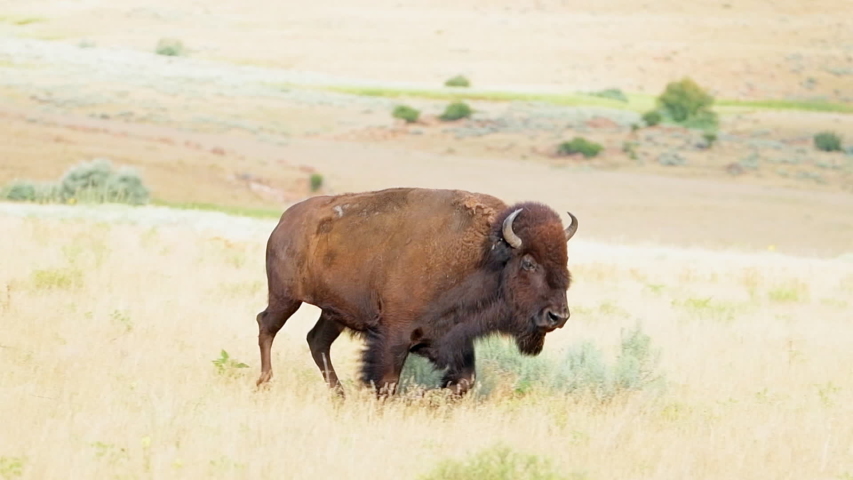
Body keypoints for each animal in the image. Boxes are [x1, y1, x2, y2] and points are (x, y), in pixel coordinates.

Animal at [255, 187, 578, 396]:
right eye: (528, 262)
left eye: (565, 261)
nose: (558, 316)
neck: (485, 254)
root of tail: (284, 220)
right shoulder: (393, 336)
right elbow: (386, 381)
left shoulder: (450, 339)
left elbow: (464, 381)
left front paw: (428, 398)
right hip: (285, 297)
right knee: (267, 325)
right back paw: (265, 382)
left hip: (333, 312)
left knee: (317, 341)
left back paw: (339, 395)